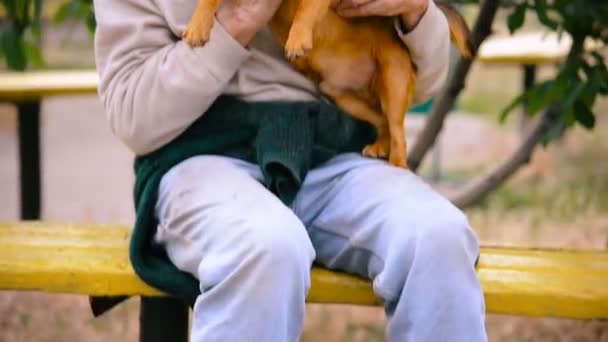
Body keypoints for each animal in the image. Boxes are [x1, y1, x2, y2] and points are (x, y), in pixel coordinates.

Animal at [180, 0, 470, 168]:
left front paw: (298, 38)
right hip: (342, 97)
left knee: (399, 135)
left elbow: (306, 8)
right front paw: (198, 24)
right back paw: (379, 146)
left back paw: (397, 167)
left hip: (393, 81)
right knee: (382, 121)